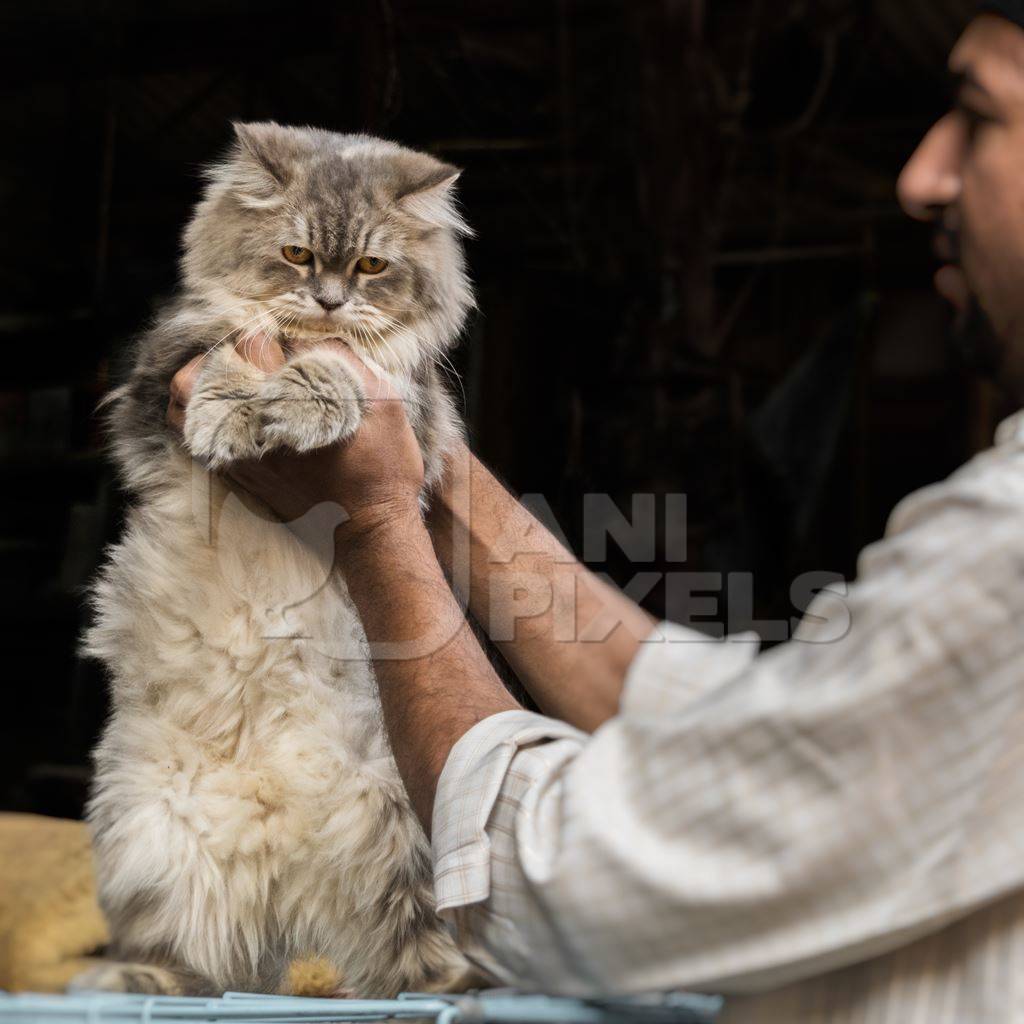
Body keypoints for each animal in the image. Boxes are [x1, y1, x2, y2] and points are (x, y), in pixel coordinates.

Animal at [76, 123, 475, 995]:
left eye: (370, 267)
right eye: (297, 255)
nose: (328, 301)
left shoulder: (410, 408)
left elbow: (336, 373)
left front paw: (294, 403)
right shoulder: (156, 379)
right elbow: (223, 348)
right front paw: (230, 418)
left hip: (416, 833)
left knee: (434, 960)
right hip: (150, 842)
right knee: (181, 959)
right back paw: (131, 983)